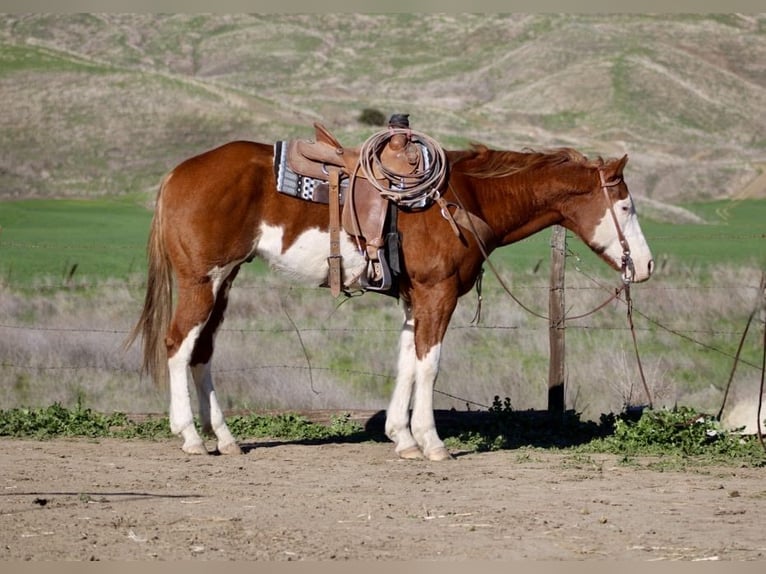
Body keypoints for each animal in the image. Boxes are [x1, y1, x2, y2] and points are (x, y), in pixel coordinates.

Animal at [126, 139, 654, 461]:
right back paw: (190, 437)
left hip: (224, 281)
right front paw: (431, 442)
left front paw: (401, 438)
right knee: (178, 345)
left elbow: (407, 362)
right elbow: (430, 365)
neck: (465, 199)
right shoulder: (438, 293)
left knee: (202, 352)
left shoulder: (414, 298)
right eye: (626, 206)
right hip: (202, 280)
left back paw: (226, 438)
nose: (646, 266)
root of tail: (177, 174)